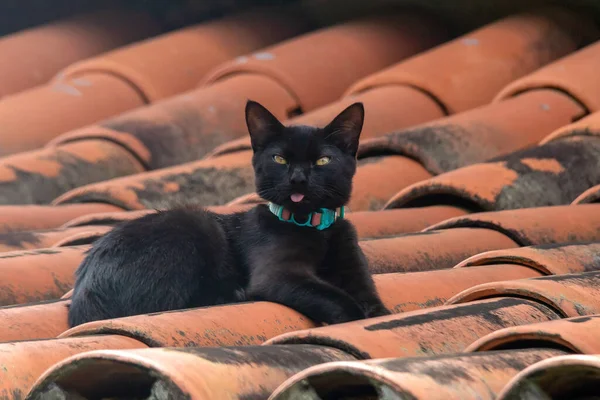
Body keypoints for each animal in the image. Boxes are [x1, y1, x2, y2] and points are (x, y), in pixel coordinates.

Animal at [68, 100, 392, 328]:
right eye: (279, 159)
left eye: (323, 160)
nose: (298, 179)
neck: (313, 226)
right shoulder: (275, 275)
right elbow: (337, 300)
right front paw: (356, 314)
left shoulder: (354, 268)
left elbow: (372, 301)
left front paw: (378, 313)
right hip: (195, 224)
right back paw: (234, 294)